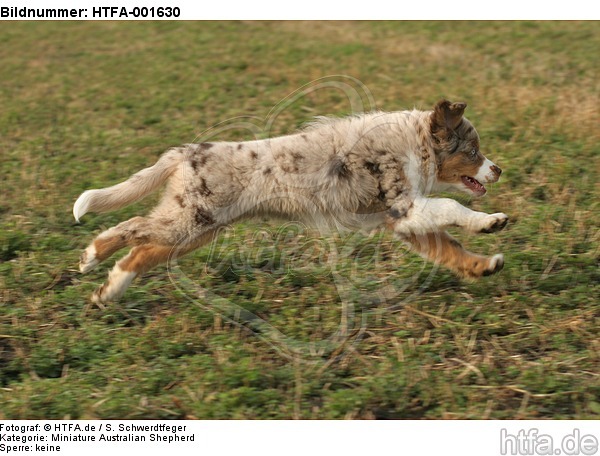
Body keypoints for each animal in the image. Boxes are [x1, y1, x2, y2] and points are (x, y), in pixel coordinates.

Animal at [74, 101, 506, 304]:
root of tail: (185, 153)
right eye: (472, 152)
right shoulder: (405, 206)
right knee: (128, 228)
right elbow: (453, 210)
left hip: (196, 228)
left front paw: (483, 265)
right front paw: (491, 221)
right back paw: (91, 256)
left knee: (141, 252)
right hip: (188, 220)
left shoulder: (404, 219)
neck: (415, 144)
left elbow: (449, 248)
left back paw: (108, 291)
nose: (498, 170)